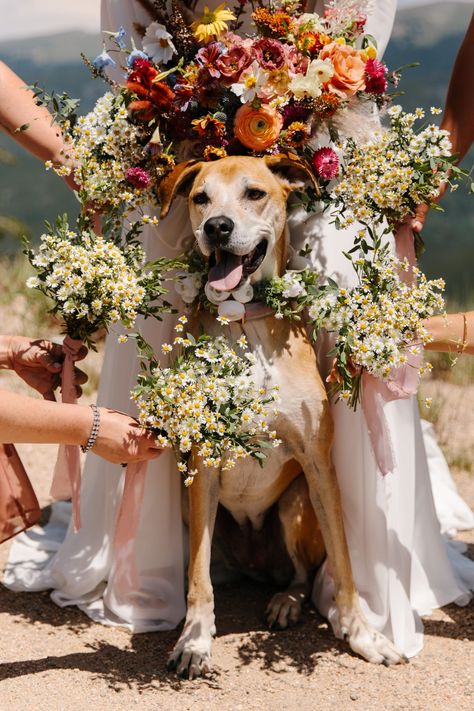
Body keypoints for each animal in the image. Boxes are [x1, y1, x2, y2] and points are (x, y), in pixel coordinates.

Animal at [158, 156, 404, 680]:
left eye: (254, 193)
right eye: (200, 198)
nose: (216, 227)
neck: (244, 321)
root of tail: (256, 565)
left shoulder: (317, 463)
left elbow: (344, 564)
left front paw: (363, 635)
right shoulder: (204, 466)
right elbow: (197, 579)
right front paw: (194, 641)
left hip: (293, 505)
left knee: (303, 575)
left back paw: (285, 602)